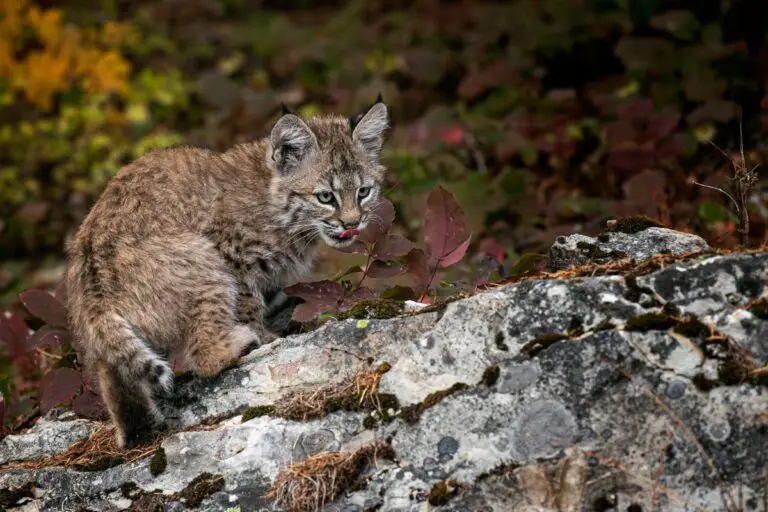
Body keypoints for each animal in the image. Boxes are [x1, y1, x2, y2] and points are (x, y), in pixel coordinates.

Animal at [64, 98, 390, 446]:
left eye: (364, 191)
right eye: (326, 197)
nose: (352, 224)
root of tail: (94, 286)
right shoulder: (232, 251)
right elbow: (249, 302)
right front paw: (266, 335)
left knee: (116, 381)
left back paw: (139, 434)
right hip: (204, 261)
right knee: (202, 356)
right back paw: (241, 346)